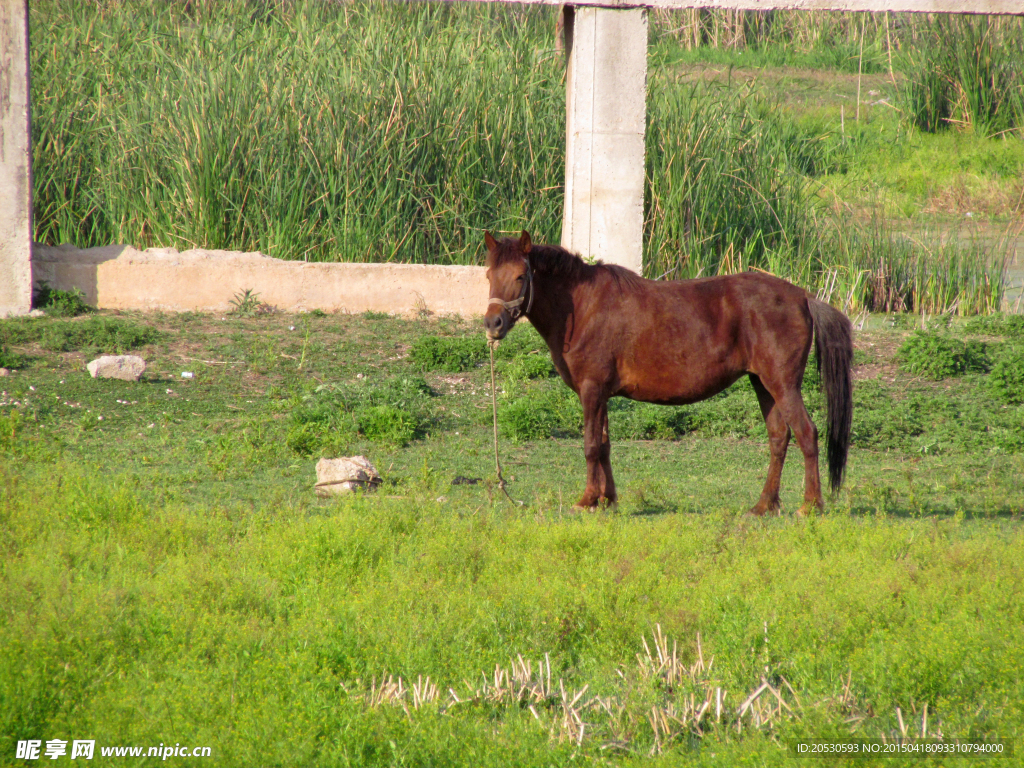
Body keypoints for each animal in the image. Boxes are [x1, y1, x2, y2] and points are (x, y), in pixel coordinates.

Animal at [483, 231, 851, 514]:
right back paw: (763, 506)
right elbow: (604, 445)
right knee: (779, 438)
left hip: (783, 384)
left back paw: (810, 506)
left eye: (520, 276)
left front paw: (587, 500)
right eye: (488, 276)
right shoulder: (603, 394)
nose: (493, 323)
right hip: (763, 384)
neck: (582, 306)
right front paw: (608, 499)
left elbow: (589, 445)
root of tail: (803, 297)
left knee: (806, 434)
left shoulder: (591, 390)